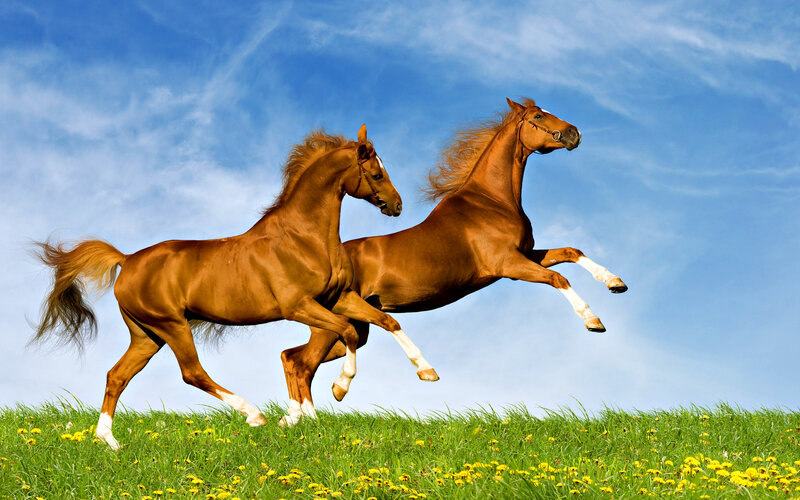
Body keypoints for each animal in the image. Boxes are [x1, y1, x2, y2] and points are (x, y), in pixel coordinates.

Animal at [32, 124, 433, 449]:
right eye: (377, 173)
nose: (397, 205)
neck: (303, 237)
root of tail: (127, 259)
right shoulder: (299, 306)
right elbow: (346, 333)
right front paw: (338, 390)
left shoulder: (339, 298)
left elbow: (388, 321)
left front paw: (426, 371)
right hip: (171, 325)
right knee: (192, 373)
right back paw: (253, 414)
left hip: (146, 334)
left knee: (117, 376)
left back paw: (109, 442)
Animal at [279, 99, 627, 419]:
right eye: (539, 116)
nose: (573, 133)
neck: (491, 201)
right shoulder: (510, 265)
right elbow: (559, 278)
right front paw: (593, 321)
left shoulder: (527, 254)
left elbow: (571, 252)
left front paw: (615, 283)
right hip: (332, 325)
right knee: (302, 364)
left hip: (352, 326)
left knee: (292, 357)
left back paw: (297, 417)